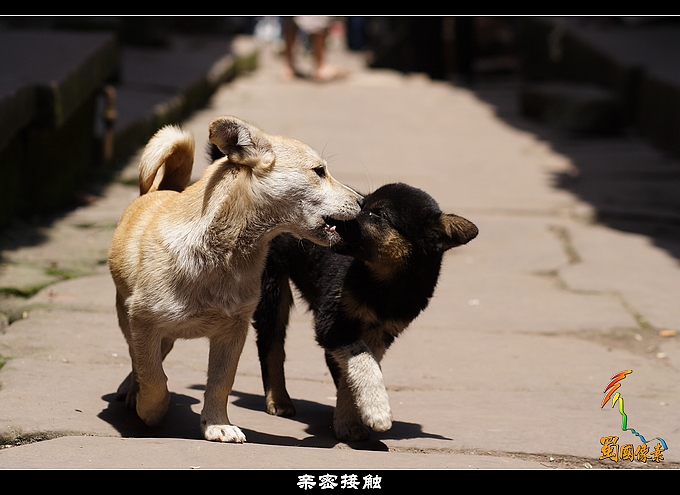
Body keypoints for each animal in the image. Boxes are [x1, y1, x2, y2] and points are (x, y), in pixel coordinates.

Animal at [109, 116, 364, 442]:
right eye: (319, 171)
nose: (362, 202)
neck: (224, 257)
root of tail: (162, 189)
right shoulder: (142, 322)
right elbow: (154, 379)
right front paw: (149, 410)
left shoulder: (233, 332)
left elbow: (220, 383)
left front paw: (216, 424)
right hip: (129, 318)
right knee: (137, 358)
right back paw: (131, 392)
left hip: (166, 336)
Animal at [251, 183, 478, 442]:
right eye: (364, 203)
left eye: (378, 214)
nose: (328, 217)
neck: (384, 286)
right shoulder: (333, 325)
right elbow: (365, 363)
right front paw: (377, 411)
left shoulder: (380, 332)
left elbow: (354, 371)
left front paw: (349, 420)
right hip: (271, 286)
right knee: (271, 344)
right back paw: (278, 399)